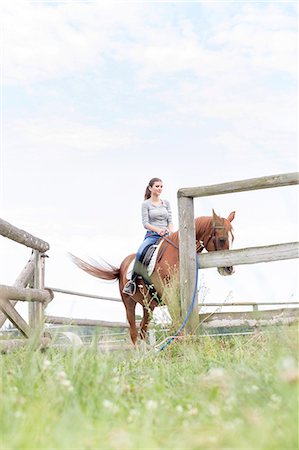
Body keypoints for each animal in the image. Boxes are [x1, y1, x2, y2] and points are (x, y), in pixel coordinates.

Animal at [71, 210, 236, 344]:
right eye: (222, 239)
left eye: (232, 238)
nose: (229, 269)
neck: (177, 254)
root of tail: (122, 266)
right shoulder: (170, 296)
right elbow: (177, 322)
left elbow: (179, 322)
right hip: (129, 303)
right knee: (134, 333)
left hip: (147, 306)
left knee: (143, 331)